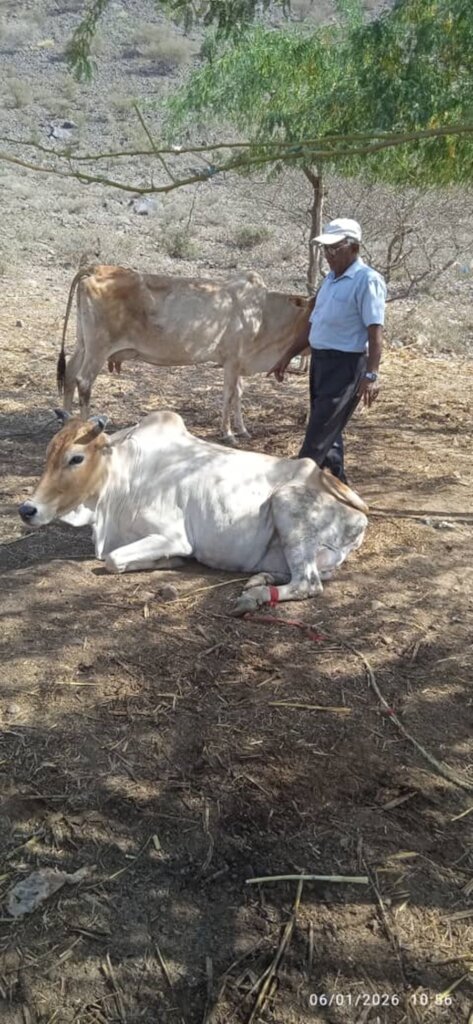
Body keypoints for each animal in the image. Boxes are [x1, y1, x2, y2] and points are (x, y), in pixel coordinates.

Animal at [18, 411, 368, 615]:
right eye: (49, 452)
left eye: (76, 458)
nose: (27, 509)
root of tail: (358, 515)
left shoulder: (173, 536)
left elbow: (113, 560)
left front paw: (169, 562)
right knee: (310, 574)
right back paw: (259, 579)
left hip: (286, 501)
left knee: (308, 583)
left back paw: (253, 597)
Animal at [56, 264, 314, 443]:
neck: (262, 313)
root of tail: (95, 269)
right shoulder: (232, 361)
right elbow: (229, 395)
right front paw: (228, 433)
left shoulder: (239, 361)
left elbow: (239, 394)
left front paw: (243, 429)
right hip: (98, 349)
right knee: (83, 381)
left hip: (83, 344)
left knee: (69, 374)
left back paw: (66, 423)